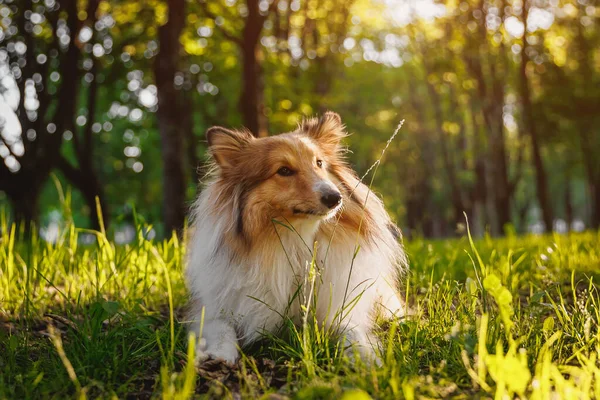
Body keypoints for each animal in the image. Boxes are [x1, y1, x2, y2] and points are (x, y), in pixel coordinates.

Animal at [185, 111, 406, 364]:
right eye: (284, 170)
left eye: (319, 163)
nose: (335, 198)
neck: (296, 241)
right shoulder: (212, 308)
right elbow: (221, 327)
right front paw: (219, 354)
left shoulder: (340, 306)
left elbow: (349, 328)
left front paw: (364, 355)